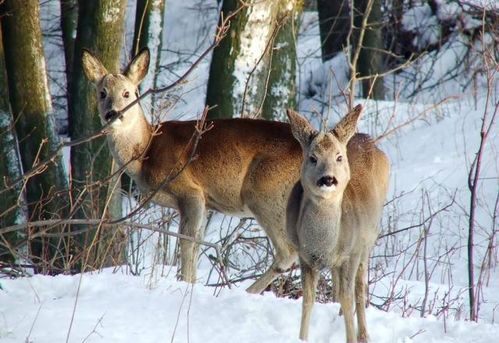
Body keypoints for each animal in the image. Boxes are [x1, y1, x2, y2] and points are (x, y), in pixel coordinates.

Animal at [82, 47, 302, 292]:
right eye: (102, 93)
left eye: (128, 93)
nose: (113, 113)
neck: (147, 150)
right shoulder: (205, 203)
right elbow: (196, 246)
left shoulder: (191, 191)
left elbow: (187, 244)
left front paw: (186, 285)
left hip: (266, 193)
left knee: (288, 252)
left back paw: (247, 290)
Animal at [286, 106, 390, 342]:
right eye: (312, 158)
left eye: (339, 157)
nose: (328, 179)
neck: (322, 245)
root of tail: (365, 138)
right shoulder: (304, 256)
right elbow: (308, 300)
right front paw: (301, 338)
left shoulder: (351, 254)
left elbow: (348, 296)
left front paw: (351, 337)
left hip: (367, 240)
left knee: (359, 288)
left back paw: (363, 334)